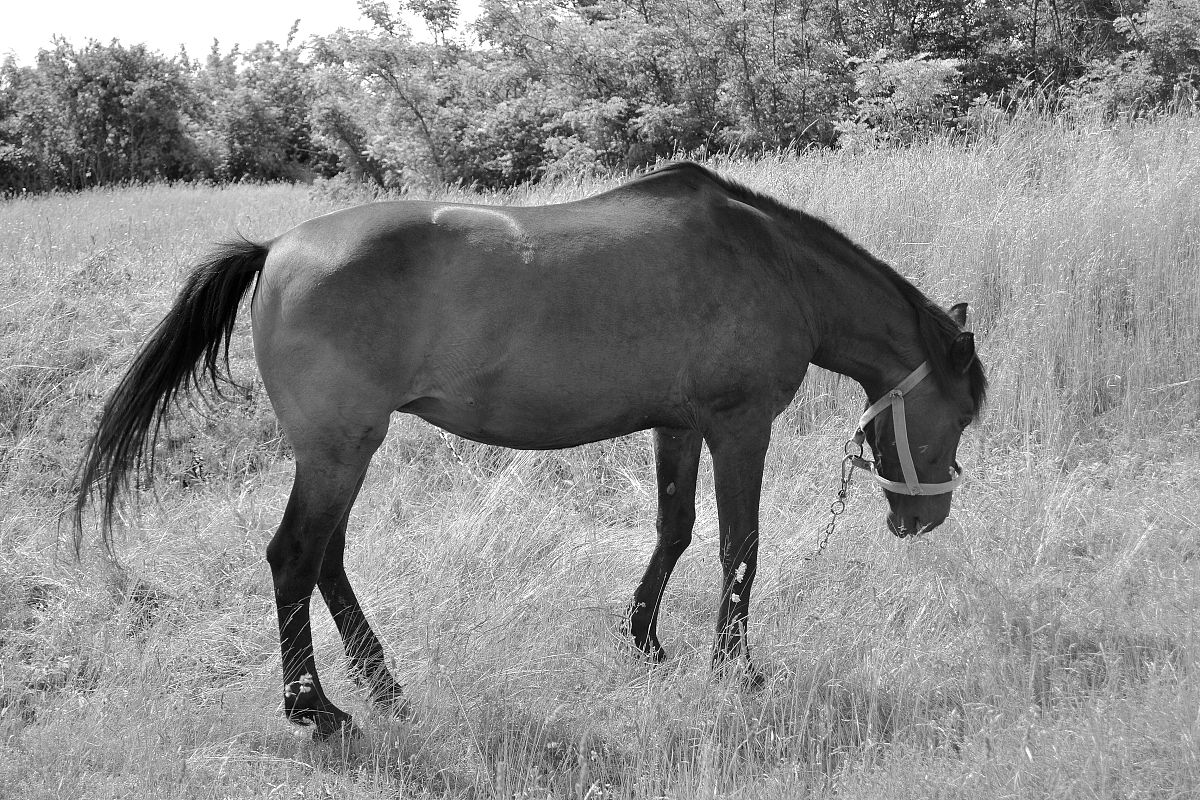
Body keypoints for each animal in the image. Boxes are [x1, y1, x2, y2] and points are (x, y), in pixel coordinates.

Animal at [74, 161, 987, 739]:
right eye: (961, 412)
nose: (925, 520)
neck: (774, 265)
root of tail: (276, 251)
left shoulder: (679, 426)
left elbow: (676, 530)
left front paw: (646, 640)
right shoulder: (739, 426)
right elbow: (741, 547)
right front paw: (736, 668)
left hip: (339, 454)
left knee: (326, 559)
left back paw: (382, 684)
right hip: (340, 451)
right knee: (295, 556)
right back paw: (316, 710)